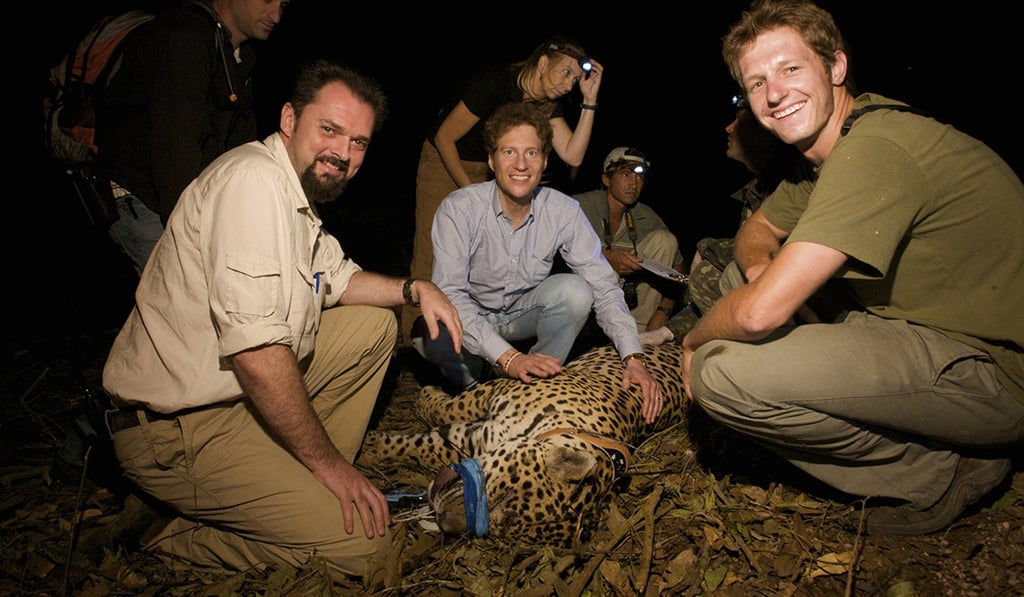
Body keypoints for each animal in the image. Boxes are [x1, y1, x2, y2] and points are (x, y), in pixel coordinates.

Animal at [358, 342, 690, 546]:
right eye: (506, 494)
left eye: (501, 528)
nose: (443, 521)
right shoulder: (497, 390)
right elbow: (453, 407)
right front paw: (426, 397)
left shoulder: (476, 437)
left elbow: (427, 444)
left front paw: (371, 447)